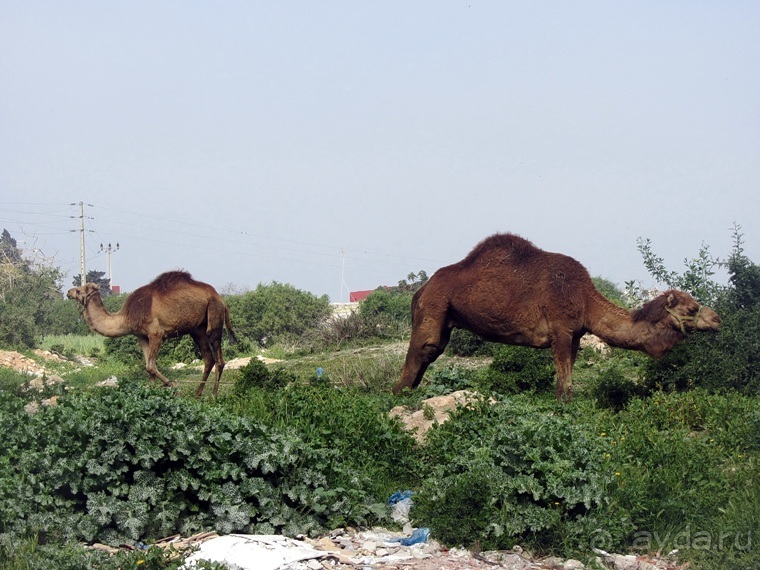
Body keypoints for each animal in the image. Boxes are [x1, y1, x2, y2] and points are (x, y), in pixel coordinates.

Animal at [71, 270, 239, 394]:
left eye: (79, 290)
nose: (68, 292)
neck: (127, 316)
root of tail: (221, 299)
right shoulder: (141, 336)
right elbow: (149, 368)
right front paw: (151, 392)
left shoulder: (156, 334)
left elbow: (151, 366)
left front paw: (174, 386)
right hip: (197, 330)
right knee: (208, 358)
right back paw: (197, 394)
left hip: (214, 313)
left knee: (218, 357)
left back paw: (213, 395)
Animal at [394, 232, 720, 400]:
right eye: (692, 308)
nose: (717, 319)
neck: (586, 299)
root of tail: (420, 289)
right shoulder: (560, 329)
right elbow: (564, 381)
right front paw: (562, 406)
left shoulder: (575, 334)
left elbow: (569, 373)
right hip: (434, 306)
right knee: (422, 350)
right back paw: (399, 396)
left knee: (430, 353)